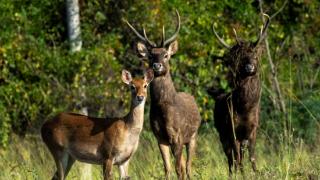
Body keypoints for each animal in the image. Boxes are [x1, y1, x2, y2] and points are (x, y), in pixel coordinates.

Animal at [125, 10, 200, 180]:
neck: (163, 109)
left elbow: (179, 169)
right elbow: (168, 169)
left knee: (188, 166)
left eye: (166, 55)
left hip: (193, 136)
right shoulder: (160, 137)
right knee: (184, 165)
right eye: (151, 55)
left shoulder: (177, 136)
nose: (156, 65)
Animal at [211, 14, 272, 175]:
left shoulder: (253, 129)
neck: (245, 109)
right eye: (241, 58)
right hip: (222, 134)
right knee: (230, 158)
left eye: (255, 56)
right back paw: (232, 173)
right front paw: (242, 173)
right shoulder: (233, 130)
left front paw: (256, 172)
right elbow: (237, 157)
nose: (249, 67)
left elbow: (251, 156)